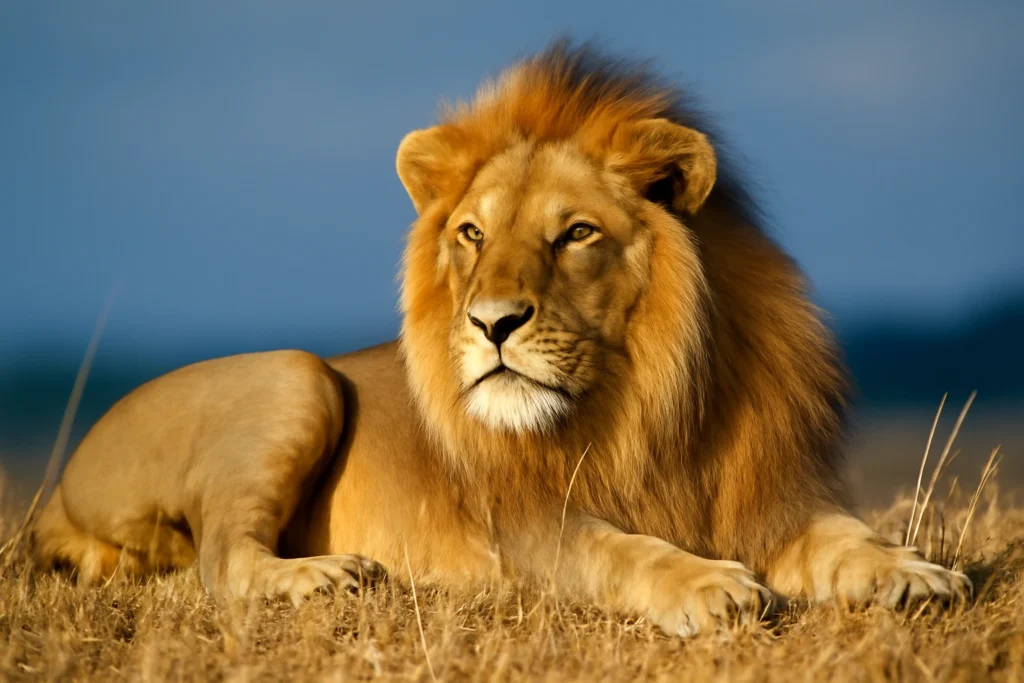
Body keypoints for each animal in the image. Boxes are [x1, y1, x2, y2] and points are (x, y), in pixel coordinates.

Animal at [31, 42, 969, 637]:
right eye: (473, 235)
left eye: (576, 234)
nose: (492, 323)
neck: (652, 403)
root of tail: (61, 486)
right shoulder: (535, 532)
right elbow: (623, 549)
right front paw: (708, 583)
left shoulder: (771, 497)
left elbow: (845, 537)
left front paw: (913, 572)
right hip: (296, 377)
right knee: (221, 563)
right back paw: (324, 573)